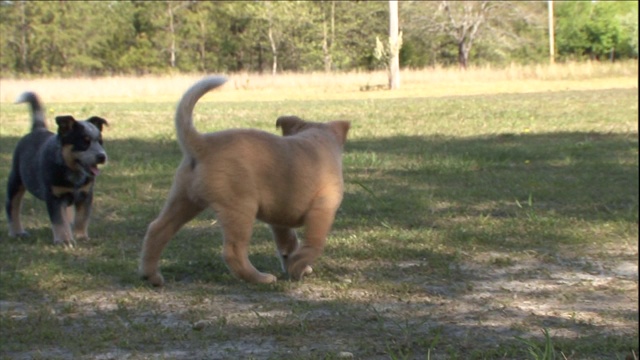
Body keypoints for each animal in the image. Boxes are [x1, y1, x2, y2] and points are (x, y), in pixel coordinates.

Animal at [6, 91, 109, 246]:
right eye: (84, 143)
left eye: (100, 142)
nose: (102, 156)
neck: (73, 173)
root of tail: (38, 129)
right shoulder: (54, 197)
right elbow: (59, 220)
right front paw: (64, 240)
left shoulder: (86, 195)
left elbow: (82, 218)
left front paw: (81, 236)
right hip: (16, 180)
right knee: (12, 206)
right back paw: (17, 232)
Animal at [140, 76, 350, 286]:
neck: (317, 136)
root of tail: (202, 144)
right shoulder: (322, 210)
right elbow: (313, 243)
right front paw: (298, 267)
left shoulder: (280, 219)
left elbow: (288, 243)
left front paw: (294, 264)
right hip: (240, 208)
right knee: (233, 252)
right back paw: (260, 278)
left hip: (184, 200)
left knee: (157, 229)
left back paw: (151, 276)